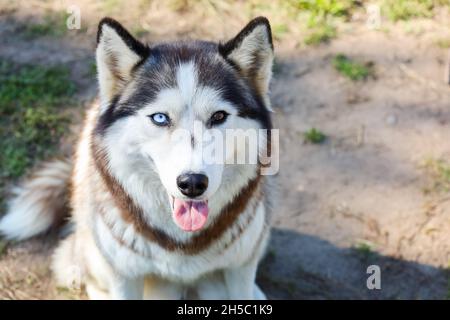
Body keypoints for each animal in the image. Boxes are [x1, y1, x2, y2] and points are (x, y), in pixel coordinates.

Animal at [0, 16, 276, 298]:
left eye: (218, 116)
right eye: (160, 118)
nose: (192, 183)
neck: (183, 241)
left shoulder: (241, 266)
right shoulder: (123, 275)